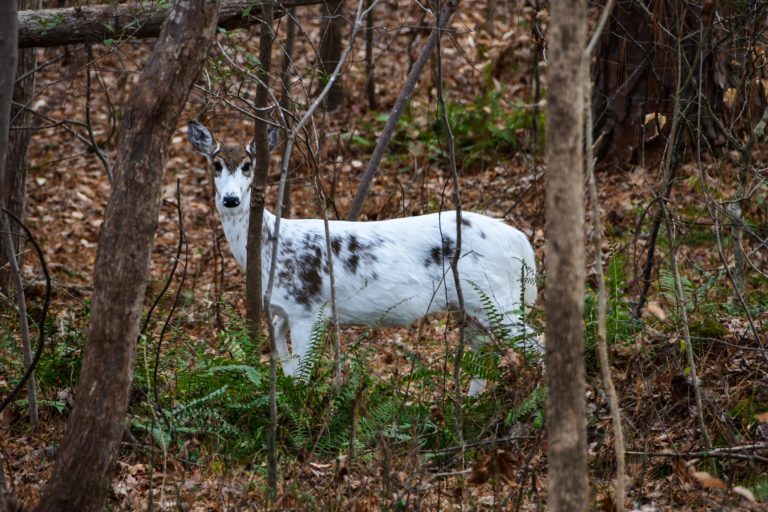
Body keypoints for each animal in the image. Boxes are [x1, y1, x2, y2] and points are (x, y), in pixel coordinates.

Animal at [187, 120, 536, 396]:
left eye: (248, 165)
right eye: (216, 164)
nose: (231, 199)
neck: (272, 248)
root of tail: (519, 240)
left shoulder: (307, 307)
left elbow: (301, 374)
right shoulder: (284, 309)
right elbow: (285, 362)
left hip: (497, 298)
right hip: (474, 306)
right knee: (483, 354)